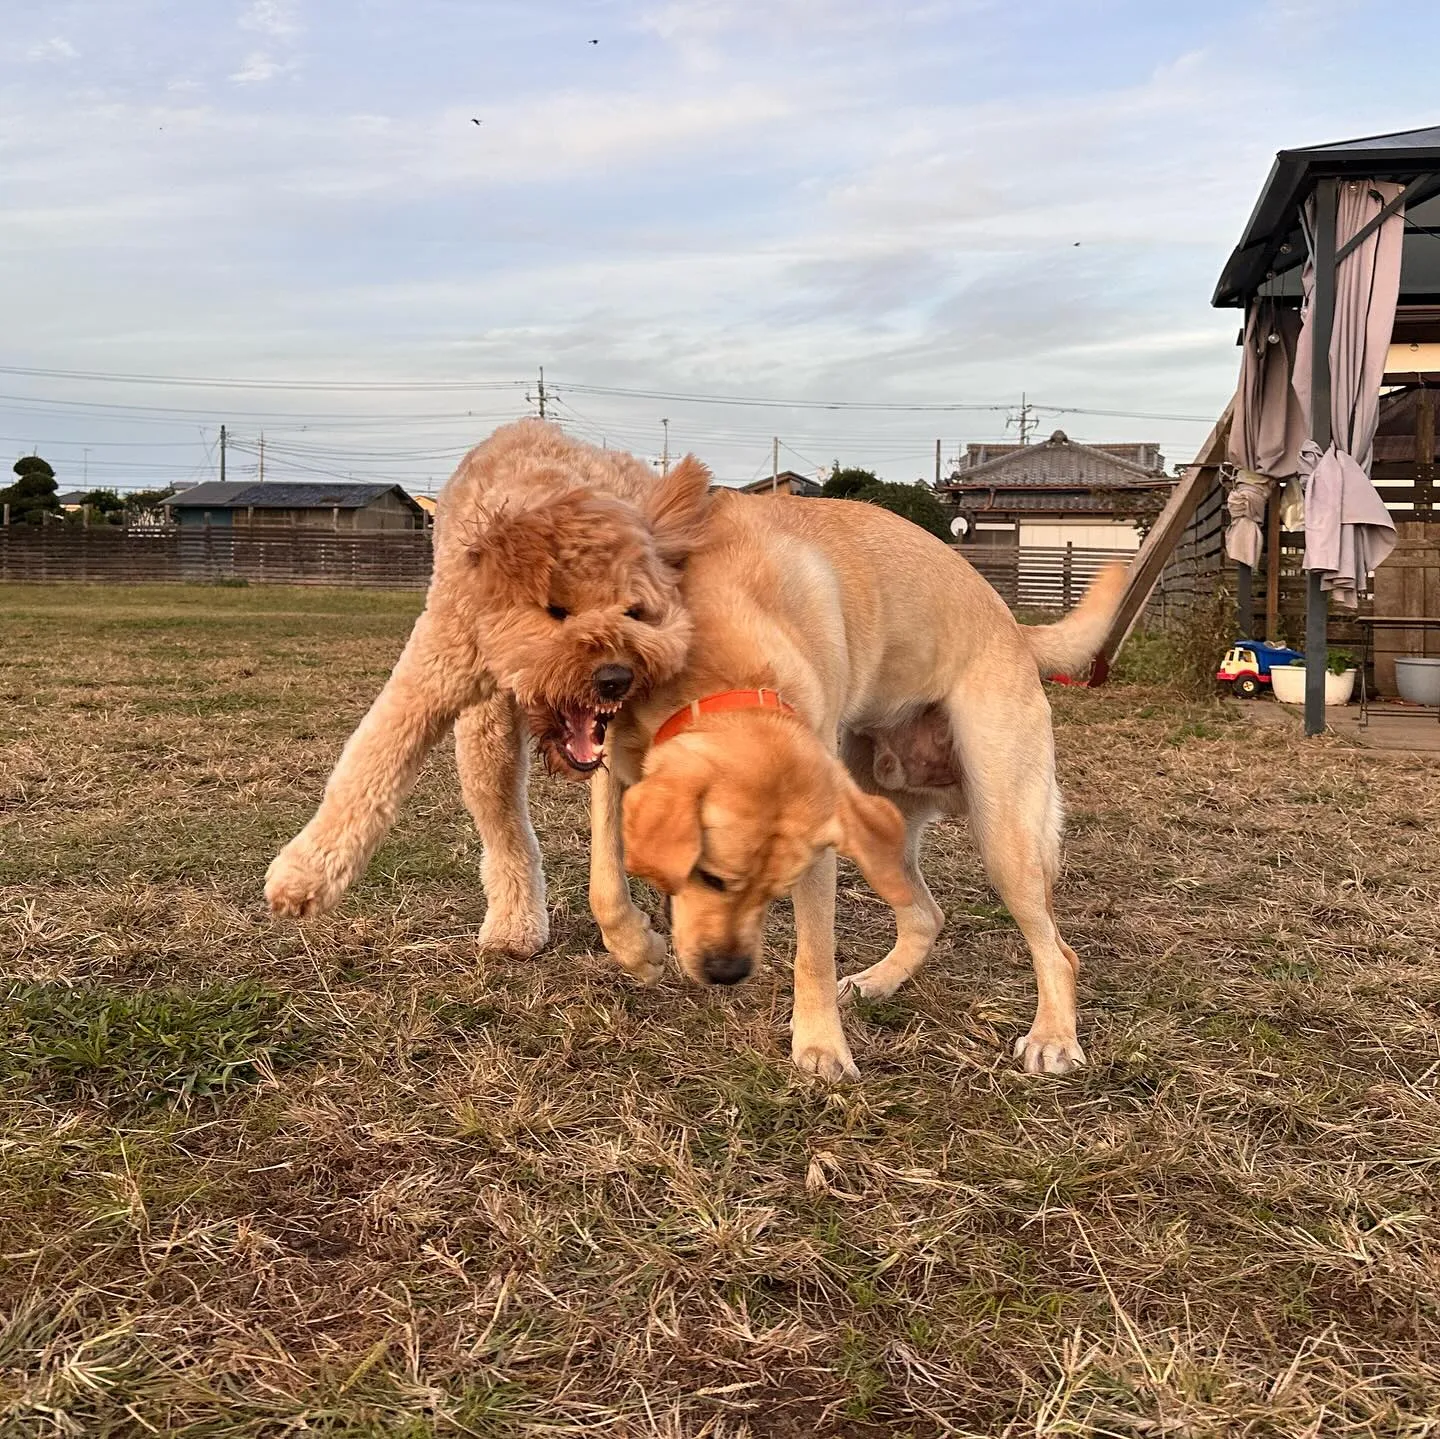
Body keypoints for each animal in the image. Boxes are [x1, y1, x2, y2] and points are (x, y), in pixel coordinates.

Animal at [267, 420, 711, 956]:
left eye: (636, 611)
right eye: (556, 610)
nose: (615, 678)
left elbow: (608, 846)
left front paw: (631, 942)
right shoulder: (440, 668)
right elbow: (373, 762)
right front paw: (302, 877)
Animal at [584, 483, 1123, 1083]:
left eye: (775, 891)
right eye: (710, 875)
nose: (727, 972)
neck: (722, 663)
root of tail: (1014, 628)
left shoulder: (816, 852)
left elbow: (814, 952)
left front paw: (821, 1047)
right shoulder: (610, 758)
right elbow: (605, 883)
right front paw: (637, 949)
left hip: (1003, 833)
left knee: (1058, 951)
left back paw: (1053, 1037)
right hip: (880, 827)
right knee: (927, 917)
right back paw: (878, 982)